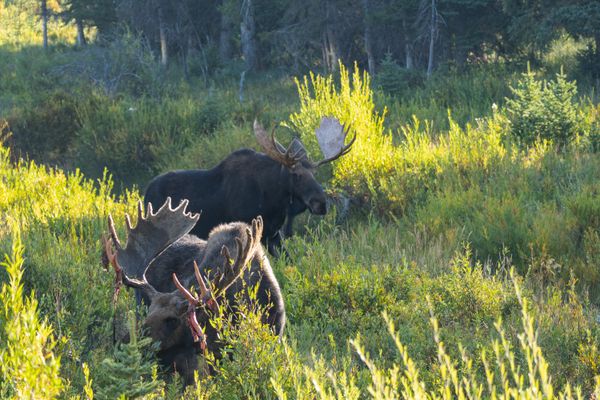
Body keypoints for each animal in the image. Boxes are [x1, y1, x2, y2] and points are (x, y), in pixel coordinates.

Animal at [142, 116, 354, 253]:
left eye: (314, 173)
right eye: (296, 174)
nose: (321, 204)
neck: (274, 200)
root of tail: (144, 194)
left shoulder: (273, 235)